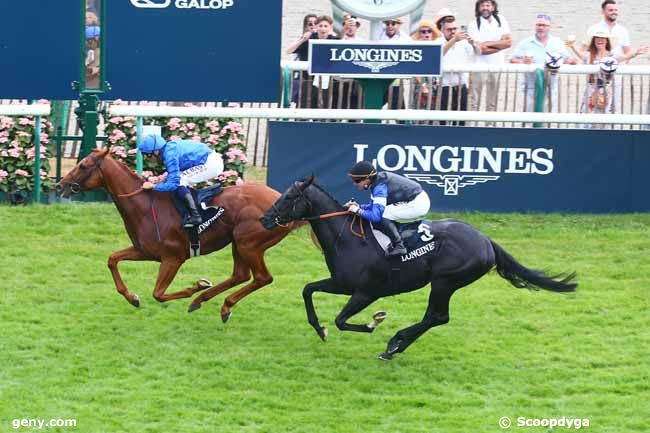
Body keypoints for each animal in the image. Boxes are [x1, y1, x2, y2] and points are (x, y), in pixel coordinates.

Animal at [55, 148, 298, 320]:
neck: (145, 206)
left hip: (248, 242)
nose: (59, 186)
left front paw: (195, 287)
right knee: (241, 275)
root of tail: (283, 201)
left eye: (83, 165)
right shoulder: (144, 251)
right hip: (238, 242)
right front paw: (132, 298)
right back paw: (210, 302)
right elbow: (112, 259)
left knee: (262, 277)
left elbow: (158, 294)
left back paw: (213, 300)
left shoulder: (173, 258)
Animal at [260, 177, 576, 360]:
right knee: (435, 317)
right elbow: (307, 290)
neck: (347, 238)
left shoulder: (367, 292)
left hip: (445, 281)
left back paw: (394, 344)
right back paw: (395, 347)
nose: (264, 219)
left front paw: (373, 322)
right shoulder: (341, 283)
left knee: (437, 316)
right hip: (444, 283)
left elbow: (342, 320)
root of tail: (486, 240)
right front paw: (319, 329)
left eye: (290, 198)